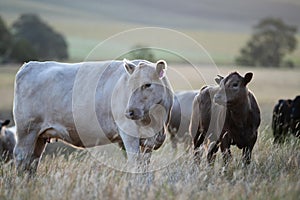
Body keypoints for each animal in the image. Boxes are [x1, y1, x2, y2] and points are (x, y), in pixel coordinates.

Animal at [13, 59, 173, 173]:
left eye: (148, 84)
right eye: (129, 85)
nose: (129, 112)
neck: (157, 122)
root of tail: (30, 65)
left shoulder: (148, 143)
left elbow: (145, 168)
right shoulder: (129, 136)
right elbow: (135, 165)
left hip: (39, 136)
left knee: (32, 162)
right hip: (27, 130)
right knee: (22, 158)